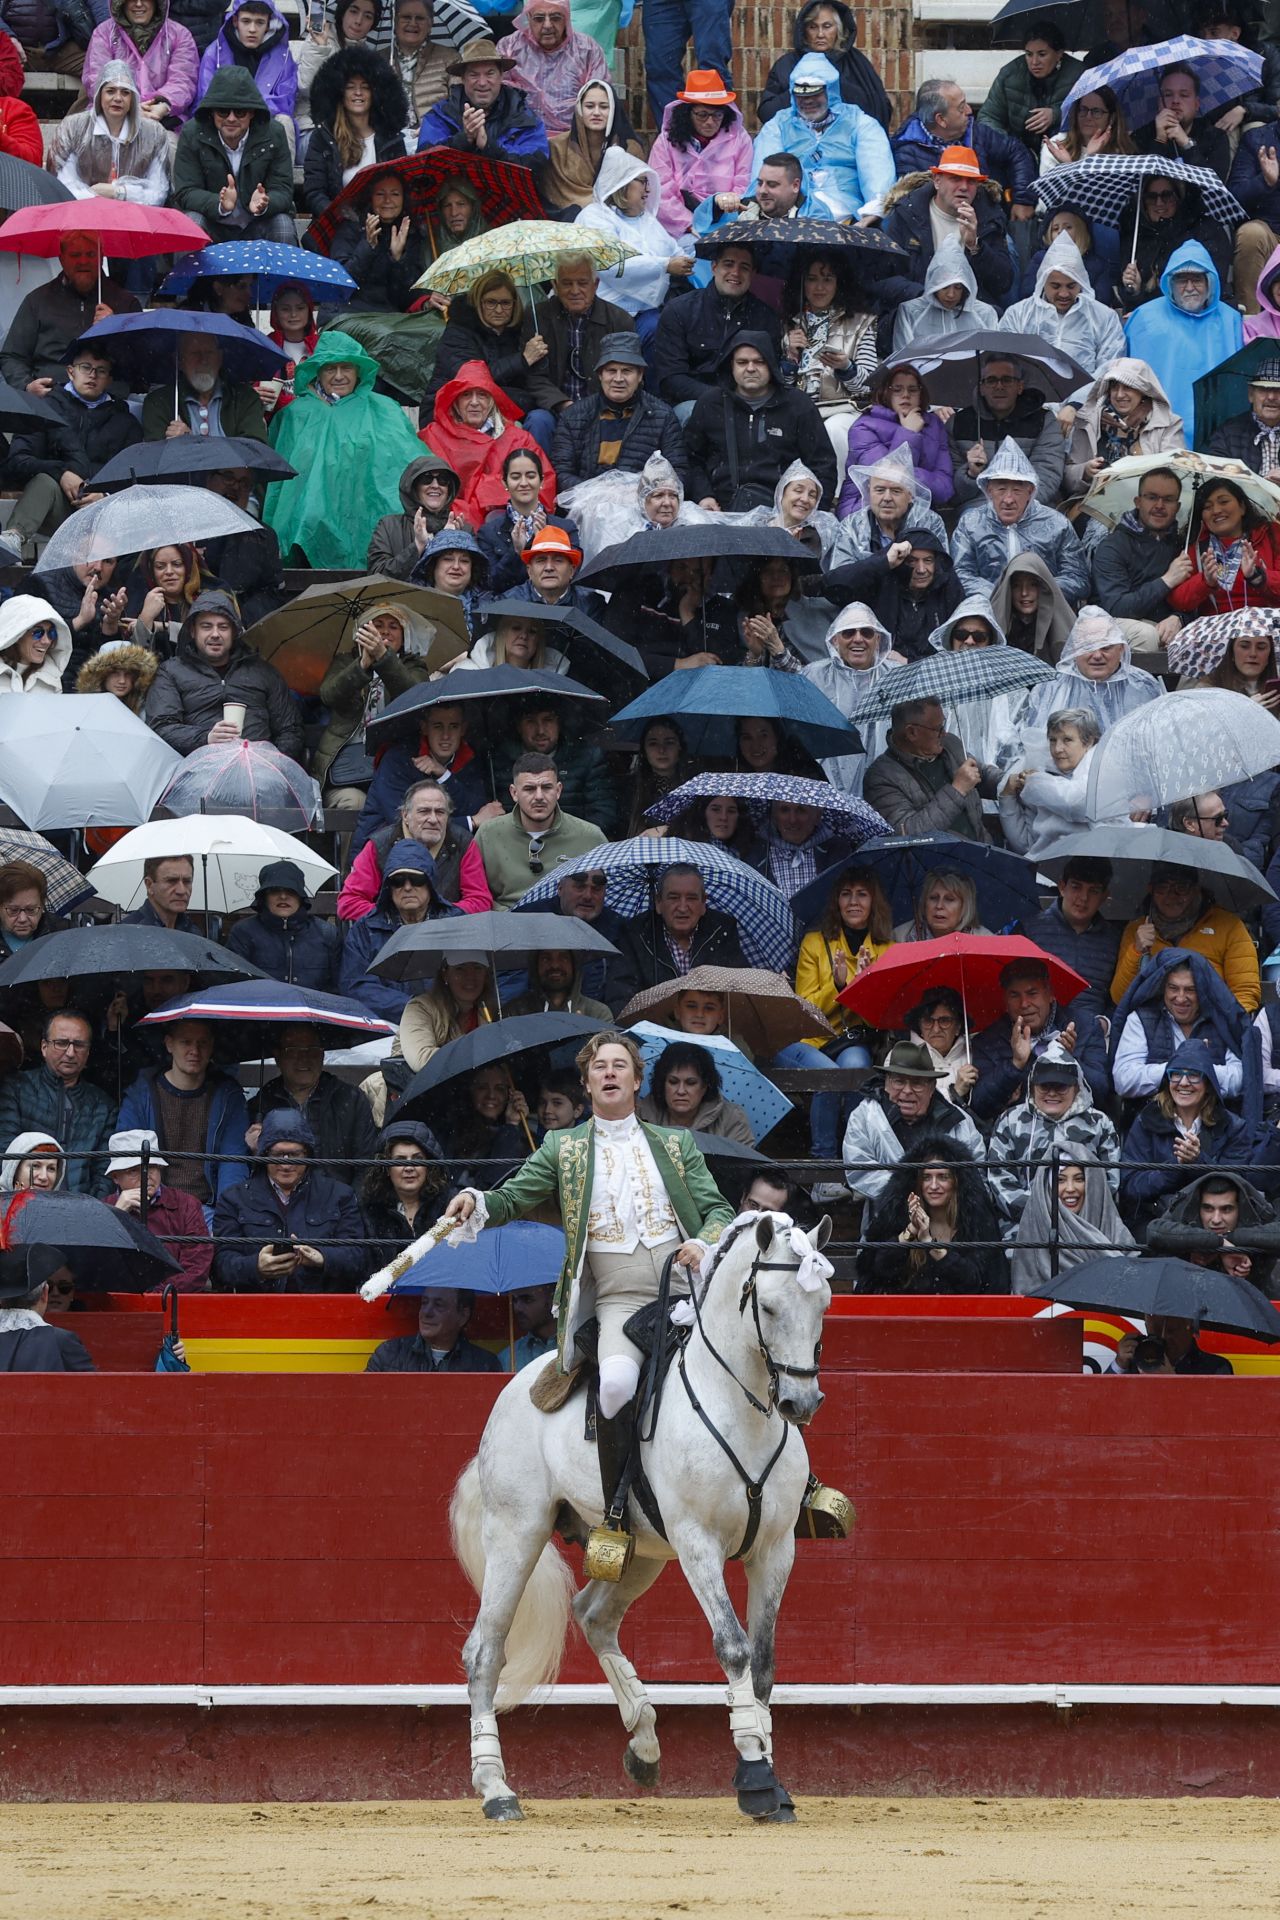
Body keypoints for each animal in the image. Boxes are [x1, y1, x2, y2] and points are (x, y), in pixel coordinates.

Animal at [445, 1213, 836, 1827]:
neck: (738, 1405)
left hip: (641, 1552)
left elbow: (765, 1662)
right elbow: (733, 1645)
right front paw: (754, 1777)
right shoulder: (698, 1543)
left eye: (822, 1303)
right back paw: (496, 1789)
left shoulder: (775, 1550)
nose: (801, 1402)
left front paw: (773, 1777)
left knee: (594, 1616)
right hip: (516, 1532)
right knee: (484, 1650)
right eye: (770, 1307)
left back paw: (644, 1745)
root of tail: (514, 1390)